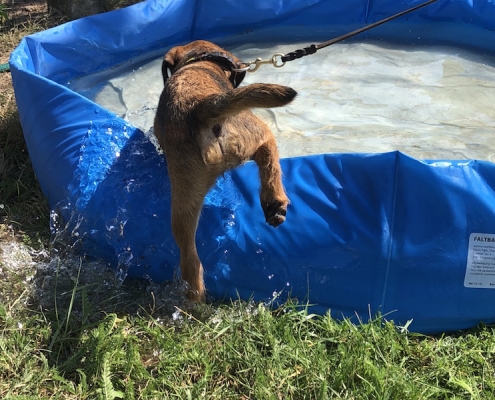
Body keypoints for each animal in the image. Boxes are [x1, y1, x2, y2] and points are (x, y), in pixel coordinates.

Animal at [153, 39, 296, 300]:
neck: (201, 62)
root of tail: (200, 108)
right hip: (256, 129)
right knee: (269, 154)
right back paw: (274, 201)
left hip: (184, 197)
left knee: (190, 260)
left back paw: (194, 300)